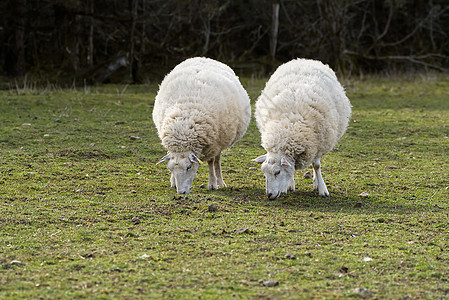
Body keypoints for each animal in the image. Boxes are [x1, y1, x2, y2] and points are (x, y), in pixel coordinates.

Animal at [153, 56, 252, 195]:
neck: (184, 126)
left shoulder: (213, 145)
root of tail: (204, 57)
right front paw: (173, 181)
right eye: (170, 168)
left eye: (189, 167)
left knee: (217, 161)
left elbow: (211, 162)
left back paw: (220, 181)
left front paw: (212, 184)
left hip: (221, 140)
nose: (181, 193)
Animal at [252, 58, 350, 199]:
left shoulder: (318, 143)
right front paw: (287, 186)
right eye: (264, 173)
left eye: (277, 172)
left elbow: (317, 166)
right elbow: (291, 169)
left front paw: (322, 189)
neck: (289, 128)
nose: (269, 195)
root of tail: (306, 59)